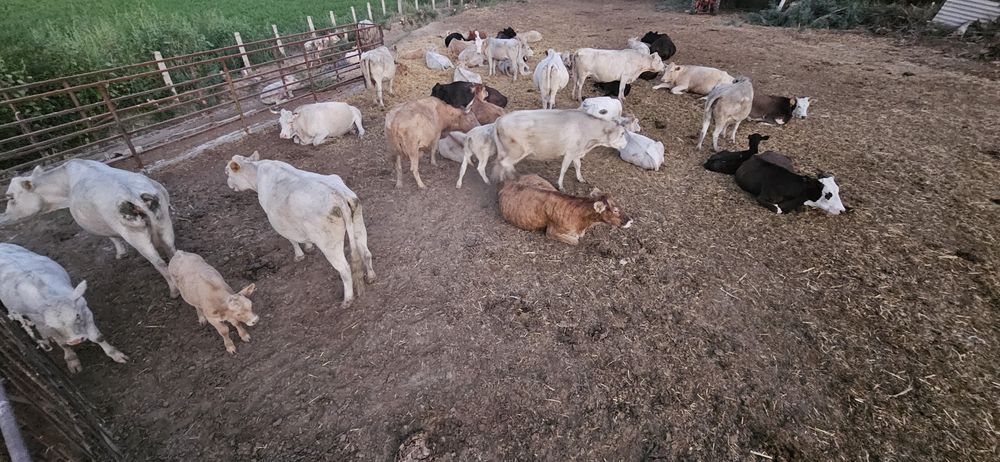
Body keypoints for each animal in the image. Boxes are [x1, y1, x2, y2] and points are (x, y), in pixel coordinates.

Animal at [0, 160, 177, 296]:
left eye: (11, 197)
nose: (3, 218)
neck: (65, 186)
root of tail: (133, 195)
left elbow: (112, 237)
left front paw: (120, 253)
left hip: (135, 235)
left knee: (159, 263)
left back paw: (174, 290)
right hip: (164, 222)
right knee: (171, 250)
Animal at [0, 243, 127, 373]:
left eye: (77, 315)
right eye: (52, 325)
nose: (76, 339)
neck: (50, 296)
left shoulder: (85, 311)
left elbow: (97, 337)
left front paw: (115, 354)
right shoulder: (44, 326)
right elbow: (63, 344)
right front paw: (72, 360)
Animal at [225, 152, 376, 306]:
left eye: (227, 172)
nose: (228, 183)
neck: (256, 171)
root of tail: (337, 196)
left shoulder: (281, 223)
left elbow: (292, 240)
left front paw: (299, 255)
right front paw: (309, 246)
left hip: (329, 244)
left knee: (344, 269)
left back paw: (347, 299)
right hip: (358, 223)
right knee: (366, 252)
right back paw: (370, 277)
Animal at [492, 109, 630, 191]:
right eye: (622, 133)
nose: (626, 144)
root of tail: (500, 120)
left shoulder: (576, 152)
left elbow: (578, 165)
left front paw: (580, 178)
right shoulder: (570, 152)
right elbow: (564, 169)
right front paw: (560, 186)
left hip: (505, 150)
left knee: (500, 163)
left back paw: (502, 180)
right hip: (518, 150)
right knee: (505, 163)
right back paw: (514, 176)